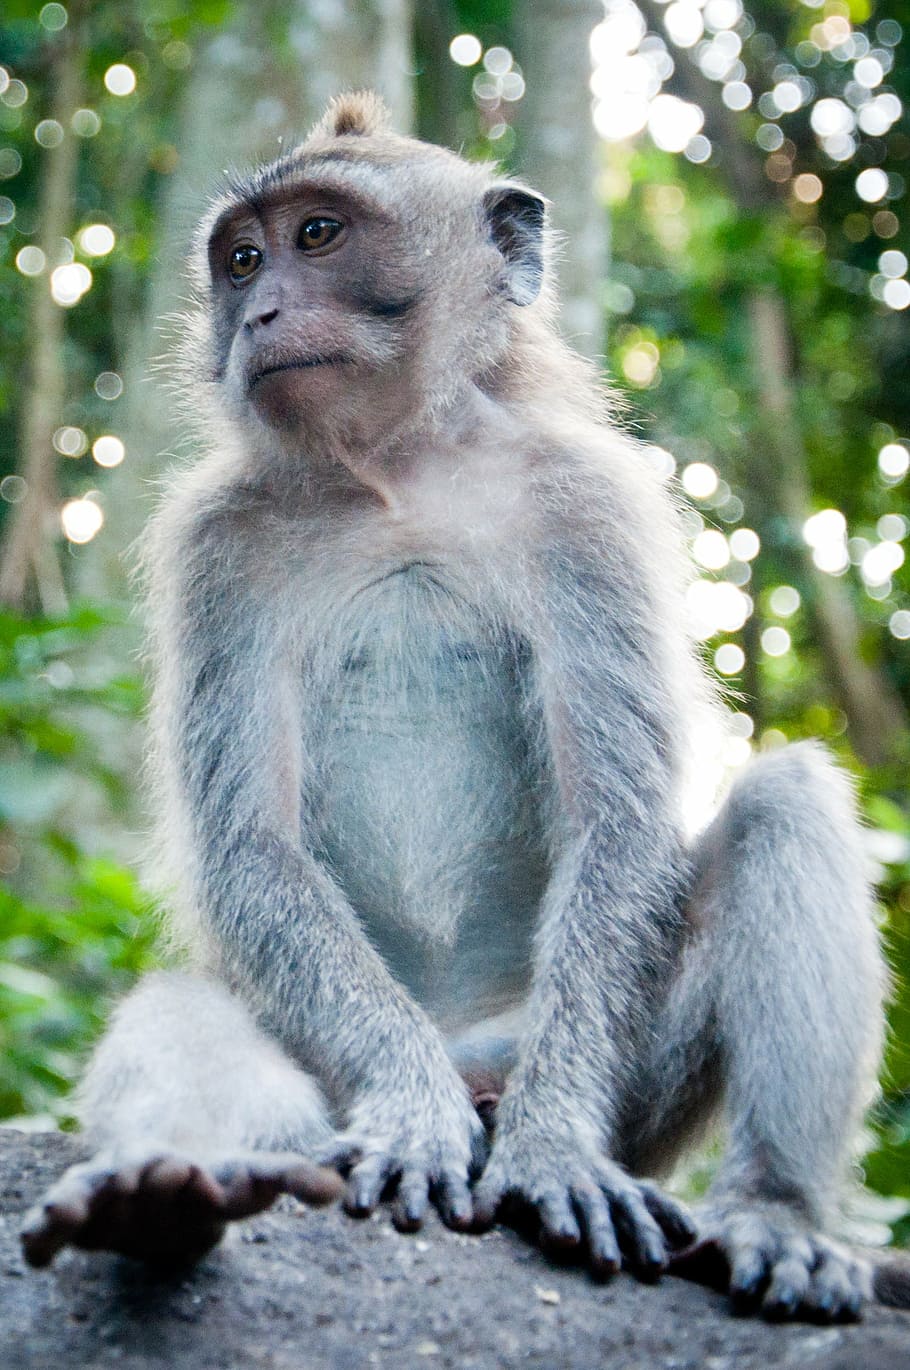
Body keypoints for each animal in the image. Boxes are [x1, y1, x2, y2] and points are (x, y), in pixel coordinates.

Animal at [20, 91, 898, 1322]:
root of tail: (472, 1058)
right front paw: (409, 1113)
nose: (262, 311)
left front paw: (557, 1148)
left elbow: (618, 818)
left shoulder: (589, 508)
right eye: (241, 260)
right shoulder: (217, 546)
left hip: (618, 1081)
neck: (398, 473)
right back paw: (164, 1191)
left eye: (318, 236)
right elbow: (250, 844)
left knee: (787, 801)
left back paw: (770, 1214)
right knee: (186, 1005)